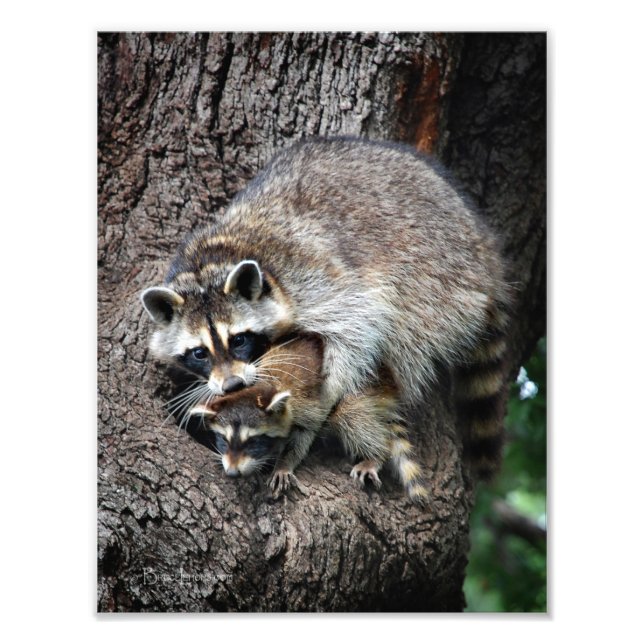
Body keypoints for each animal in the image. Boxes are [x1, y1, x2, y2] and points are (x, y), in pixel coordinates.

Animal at [142, 137, 512, 479]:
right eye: (199, 353)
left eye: (239, 340)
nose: (232, 385)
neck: (209, 264)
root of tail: (486, 252)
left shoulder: (316, 279)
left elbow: (358, 326)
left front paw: (323, 398)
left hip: (440, 277)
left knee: (407, 333)